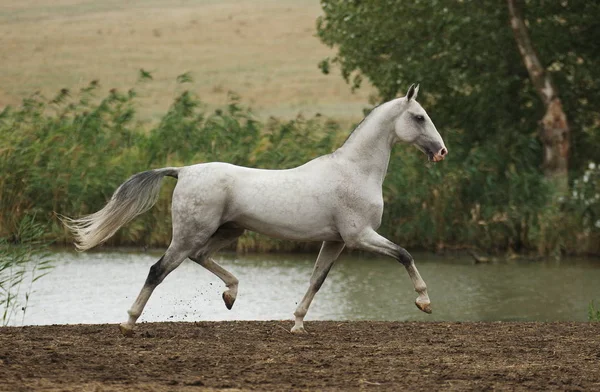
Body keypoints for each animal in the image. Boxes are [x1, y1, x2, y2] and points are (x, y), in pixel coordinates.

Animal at [62, 84, 446, 336]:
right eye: (419, 117)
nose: (441, 152)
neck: (355, 171)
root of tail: (183, 170)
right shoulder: (359, 236)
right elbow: (405, 254)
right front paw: (424, 301)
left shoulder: (335, 241)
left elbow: (316, 280)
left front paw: (297, 324)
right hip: (189, 234)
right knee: (158, 270)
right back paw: (128, 323)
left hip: (227, 231)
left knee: (200, 257)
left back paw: (230, 295)